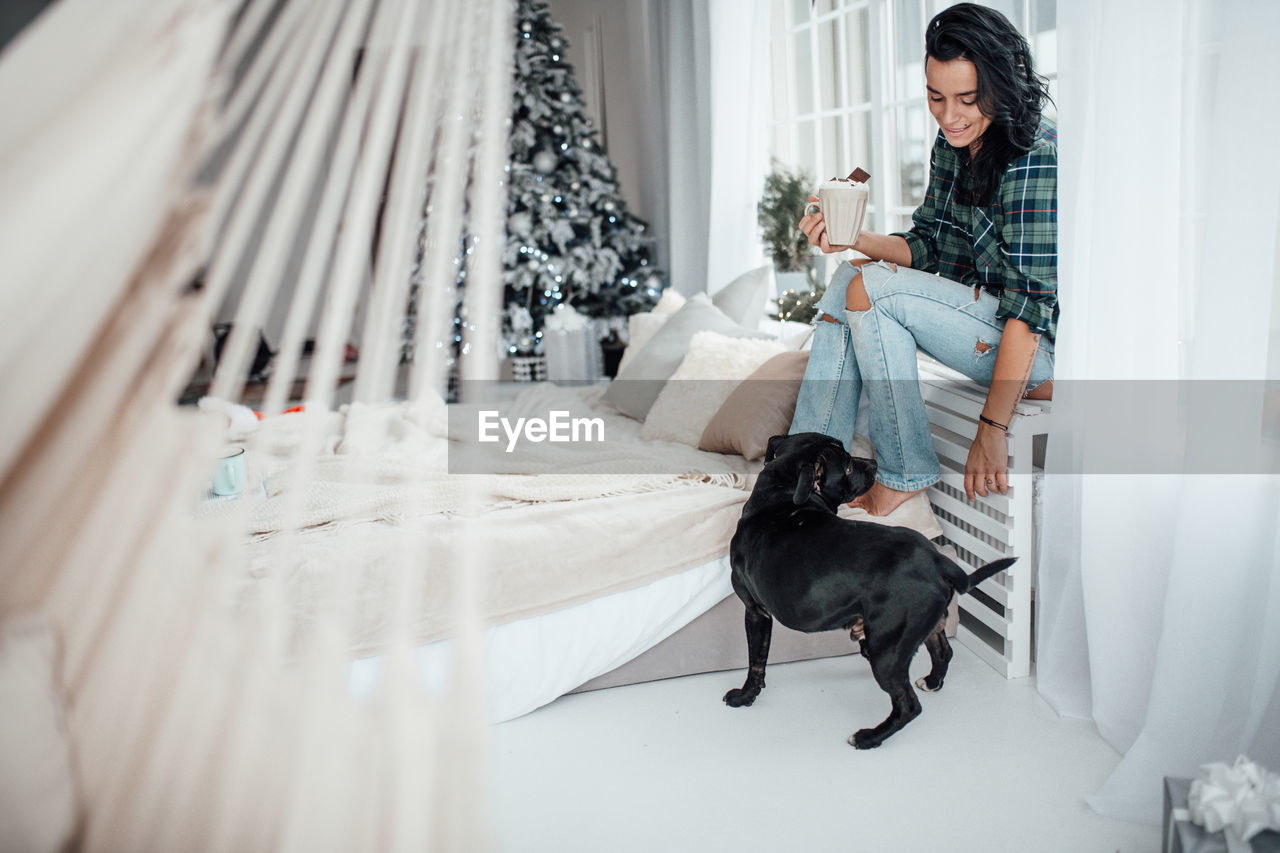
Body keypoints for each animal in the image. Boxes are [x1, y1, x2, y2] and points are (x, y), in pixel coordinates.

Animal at [727, 432, 1013, 742]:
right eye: (848, 465)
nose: (875, 463)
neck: (781, 495)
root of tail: (938, 561)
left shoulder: (755, 611)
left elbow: (756, 661)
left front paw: (744, 697)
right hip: (924, 626)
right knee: (943, 653)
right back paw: (932, 682)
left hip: (887, 651)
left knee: (909, 705)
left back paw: (869, 738)